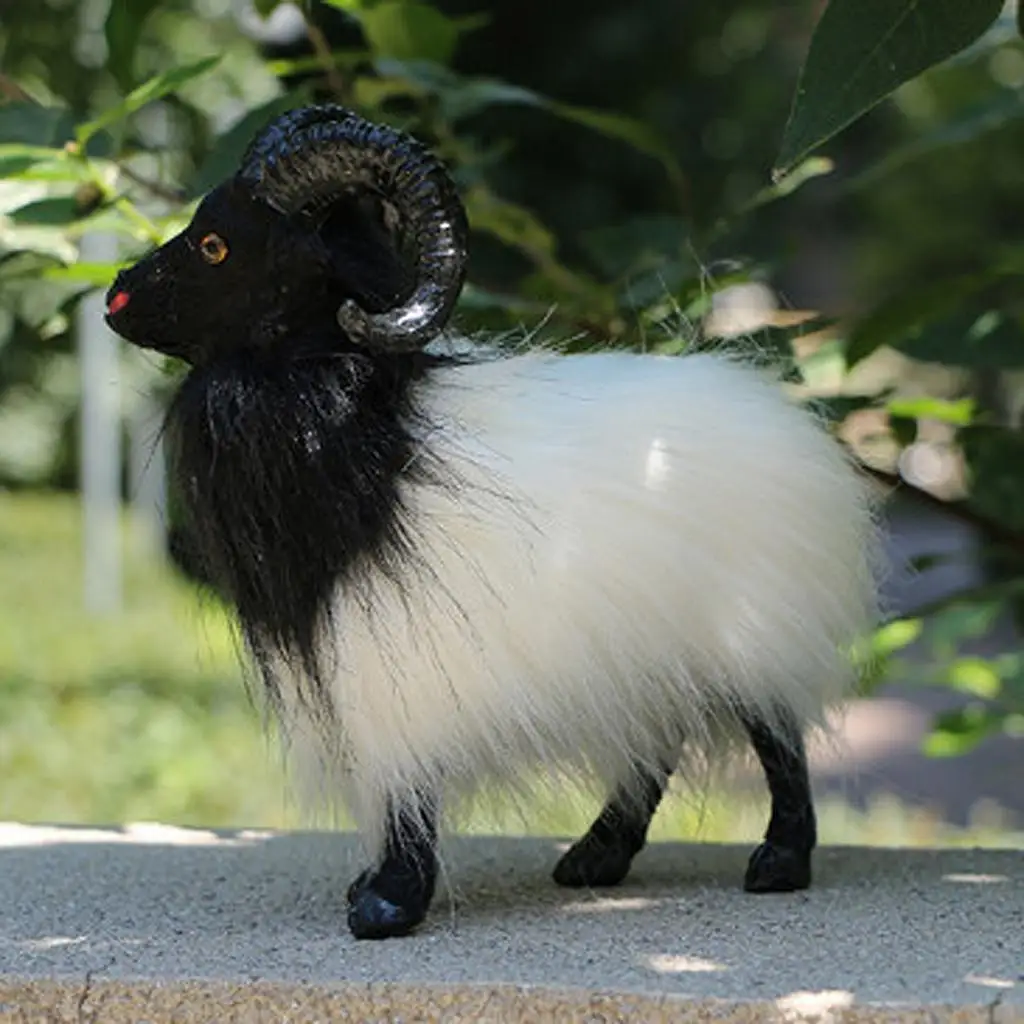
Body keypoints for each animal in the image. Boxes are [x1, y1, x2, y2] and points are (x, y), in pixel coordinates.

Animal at [104, 104, 881, 940]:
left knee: (778, 738)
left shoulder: (392, 665)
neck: (359, 417)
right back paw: (596, 857)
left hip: (748, 632)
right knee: (654, 748)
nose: (115, 297)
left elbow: (405, 788)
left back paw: (778, 864)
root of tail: (781, 417)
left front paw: (388, 903)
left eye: (217, 244)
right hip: (649, 654)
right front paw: (373, 887)